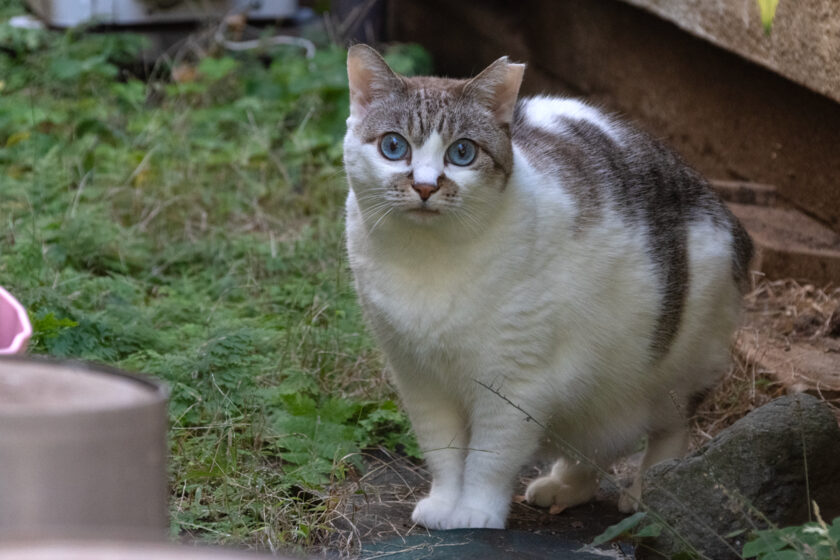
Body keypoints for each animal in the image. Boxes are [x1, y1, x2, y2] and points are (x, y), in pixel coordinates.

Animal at [342, 44, 756, 528]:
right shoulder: (418, 378)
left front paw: (475, 513)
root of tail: (725, 213)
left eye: (462, 153)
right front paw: (445, 504)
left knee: (668, 432)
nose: (425, 186)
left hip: (680, 370)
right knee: (597, 443)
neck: (426, 261)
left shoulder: (514, 382)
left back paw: (650, 493)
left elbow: (489, 457)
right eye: (394, 146)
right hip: (599, 390)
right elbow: (443, 451)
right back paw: (564, 486)